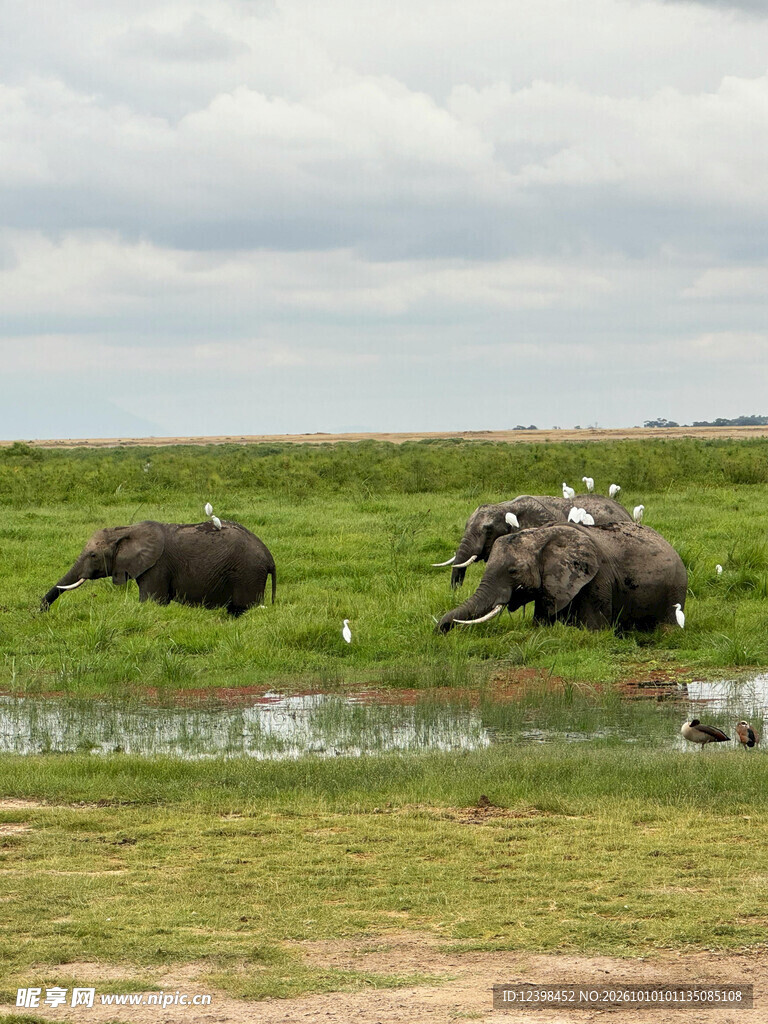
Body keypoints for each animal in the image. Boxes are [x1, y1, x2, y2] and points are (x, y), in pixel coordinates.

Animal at [41, 520, 276, 616]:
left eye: (93, 555)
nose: (42, 611)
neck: (126, 530)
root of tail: (269, 558)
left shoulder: (157, 567)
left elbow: (152, 601)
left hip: (247, 573)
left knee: (242, 608)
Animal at [437, 522, 686, 633]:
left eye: (513, 571)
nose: (439, 631)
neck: (544, 535)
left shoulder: (597, 580)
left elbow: (594, 630)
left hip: (675, 588)